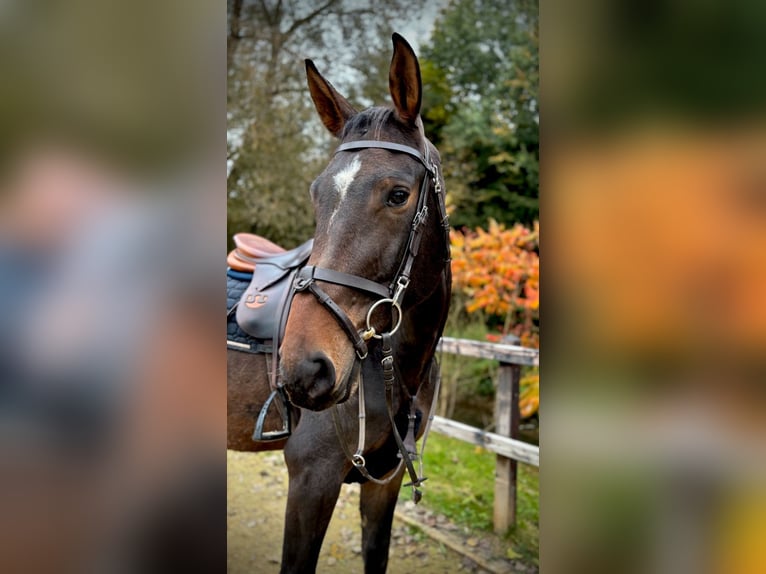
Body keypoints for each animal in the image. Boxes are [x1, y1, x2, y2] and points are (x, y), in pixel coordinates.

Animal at [226, 33, 450, 572]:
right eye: (316, 193)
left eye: (398, 194)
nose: (305, 368)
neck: (397, 371)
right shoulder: (313, 481)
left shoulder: (384, 485)